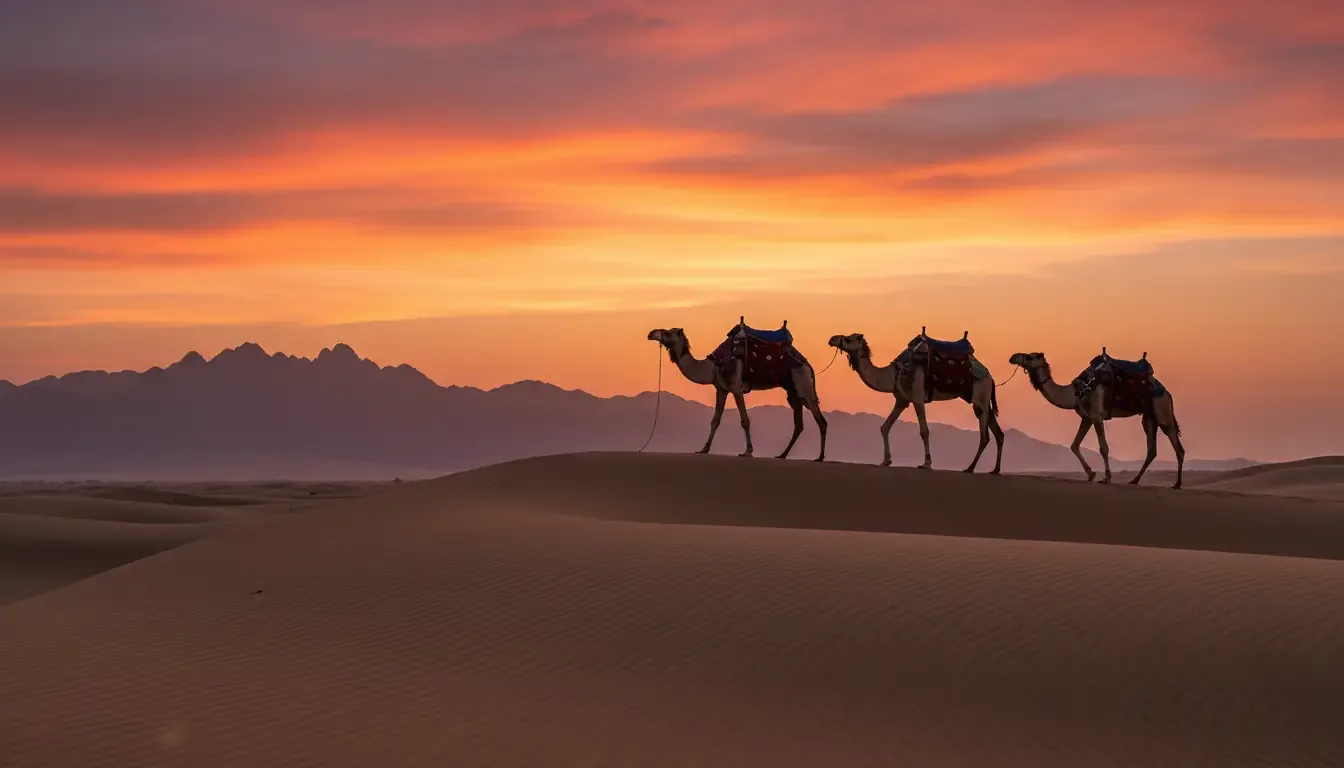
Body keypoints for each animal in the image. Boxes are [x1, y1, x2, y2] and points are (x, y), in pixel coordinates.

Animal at [647, 326, 827, 461]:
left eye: (667, 332)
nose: (651, 333)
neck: (713, 365)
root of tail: (808, 365)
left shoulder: (736, 388)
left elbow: (745, 421)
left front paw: (748, 451)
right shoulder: (721, 389)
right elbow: (715, 420)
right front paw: (704, 449)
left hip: (803, 384)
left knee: (821, 420)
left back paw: (819, 457)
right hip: (793, 392)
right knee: (799, 424)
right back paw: (782, 455)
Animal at [828, 332, 1004, 473]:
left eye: (849, 339)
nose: (832, 339)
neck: (896, 373)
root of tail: (990, 377)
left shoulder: (917, 398)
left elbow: (924, 431)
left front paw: (926, 463)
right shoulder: (902, 400)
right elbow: (885, 427)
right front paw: (886, 460)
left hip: (981, 397)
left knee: (984, 436)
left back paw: (970, 468)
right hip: (981, 402)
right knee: (998, 433)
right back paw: (995, 470)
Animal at [1007, 351, 1185, 488]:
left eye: (1030, 357)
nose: (1012, 357)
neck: (1074, 392)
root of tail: (1167, 392)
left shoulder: (1096, 415)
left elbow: (1103, 448)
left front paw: (1106, 478)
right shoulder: (1087, 417)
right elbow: (1074, 445)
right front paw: (1091, 474)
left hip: (1162, 409)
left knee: (1177, 444)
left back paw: (1177, 484)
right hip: (1149, 417)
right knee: (1152, 449)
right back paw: (1134, 480)